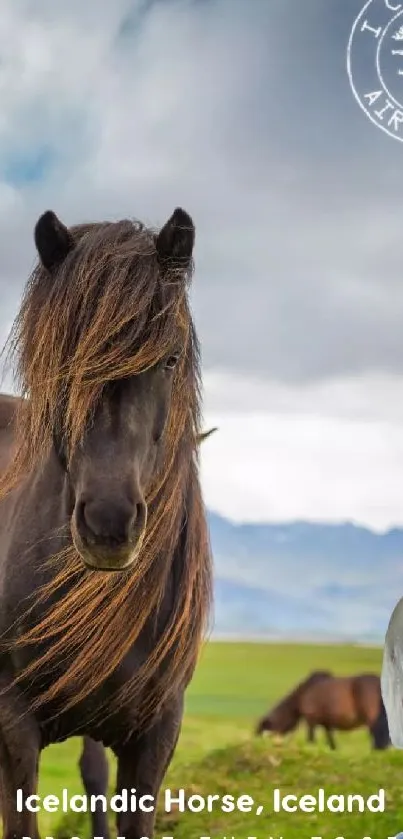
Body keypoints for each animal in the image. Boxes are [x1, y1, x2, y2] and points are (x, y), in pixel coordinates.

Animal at [256, 672, 392, 752]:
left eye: (264, 730)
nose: (260, 745)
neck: (305, 692)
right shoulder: (327, 724)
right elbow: (332, 743)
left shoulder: (311, 721)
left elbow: (310, 739)